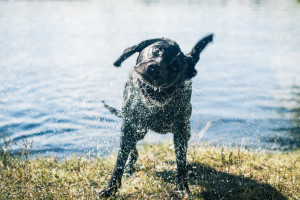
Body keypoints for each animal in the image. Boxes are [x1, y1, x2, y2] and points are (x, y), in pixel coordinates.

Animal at [100, 34, 213, 197]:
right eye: (157, 49)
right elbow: (120, 160)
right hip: (138, 130)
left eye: (175, 68)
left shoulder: (181, 133)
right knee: (133, 151)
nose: (155, 68)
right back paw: (129, 168)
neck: (155, 102)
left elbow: (181, 164)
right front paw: (111, 188)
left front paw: (183, 189)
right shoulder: (129, 126)